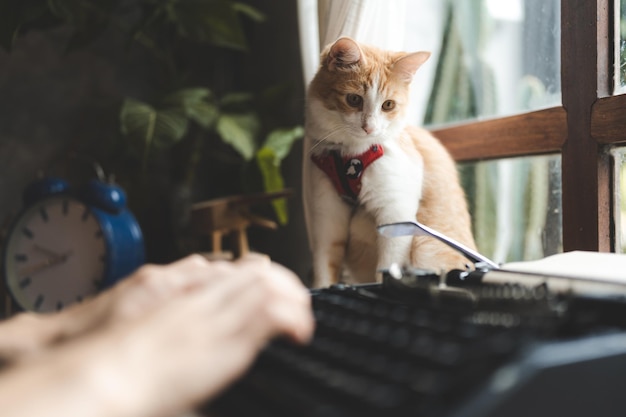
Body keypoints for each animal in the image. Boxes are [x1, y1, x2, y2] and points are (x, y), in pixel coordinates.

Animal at [302, 37, 472, 288]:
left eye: (388, 105)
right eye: (354, 99)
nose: (369, 127)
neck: (352, 156)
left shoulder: (396, 214)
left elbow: (387, 267)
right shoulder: (327, 216)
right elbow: (325, 271)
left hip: (427, 247)